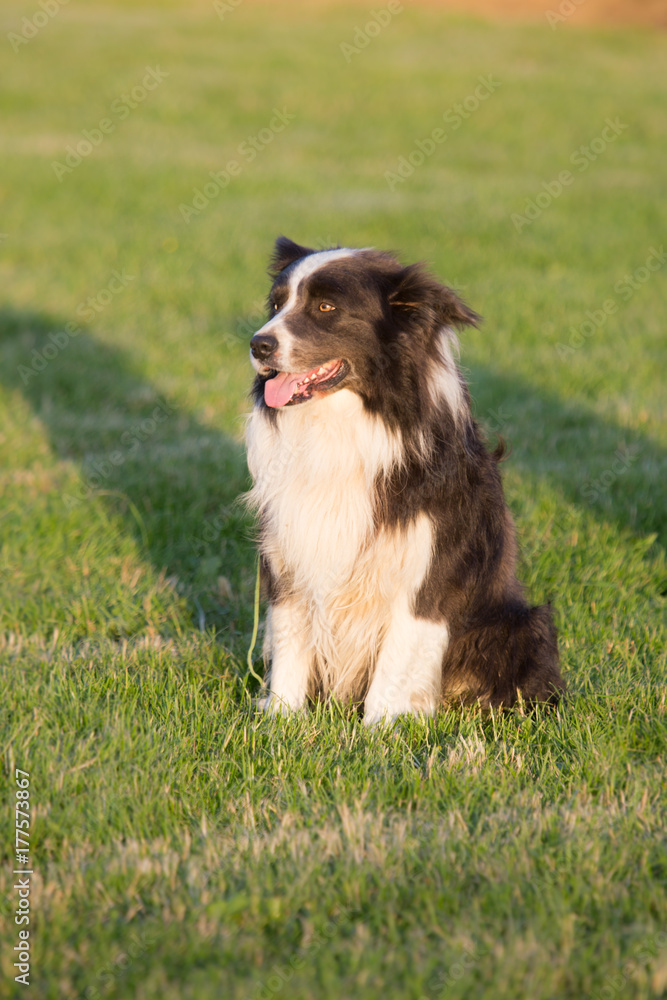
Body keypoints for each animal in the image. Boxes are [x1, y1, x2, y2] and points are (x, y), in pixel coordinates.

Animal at [245, 238, 564, 724]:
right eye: (277, 304)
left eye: (325, 307)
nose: (258, 344)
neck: (342, 425)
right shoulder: (292, 550)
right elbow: (288, 643)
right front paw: (280, 720)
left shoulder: (424, 566)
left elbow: (398, 654)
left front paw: (378, 728)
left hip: (523, 625)